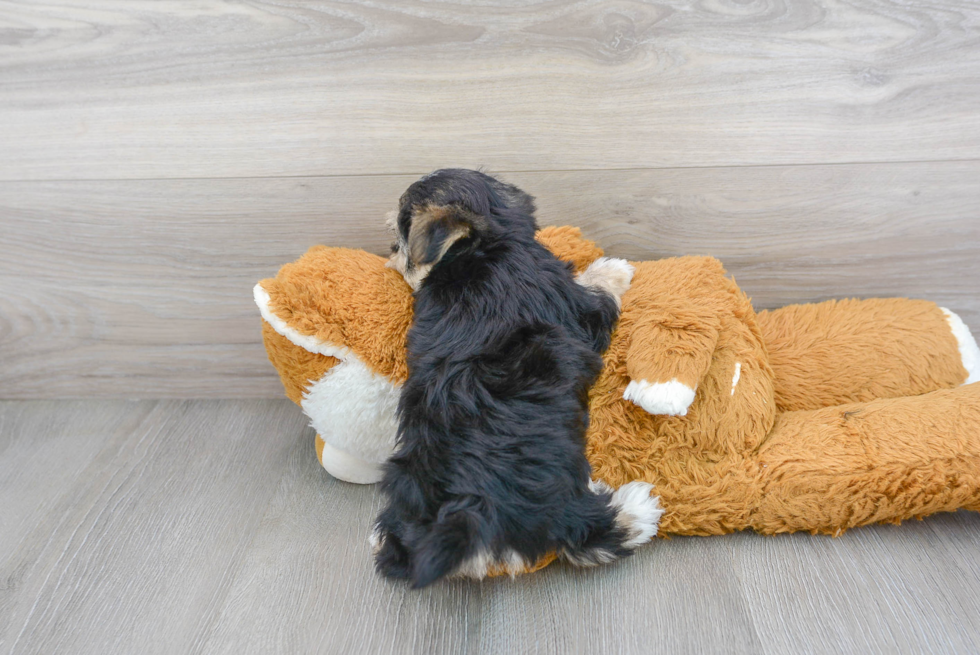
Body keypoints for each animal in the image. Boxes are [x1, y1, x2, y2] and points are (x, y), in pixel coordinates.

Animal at [372, 169, 664, 588]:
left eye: (399, 234)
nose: (389, 252)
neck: (489, 243)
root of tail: (472, 510)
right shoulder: (578, 307)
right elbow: (596, 290)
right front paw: (613, 268)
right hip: (557, 496)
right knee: (589, 539)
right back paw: (638, 508)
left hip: (406, 486)